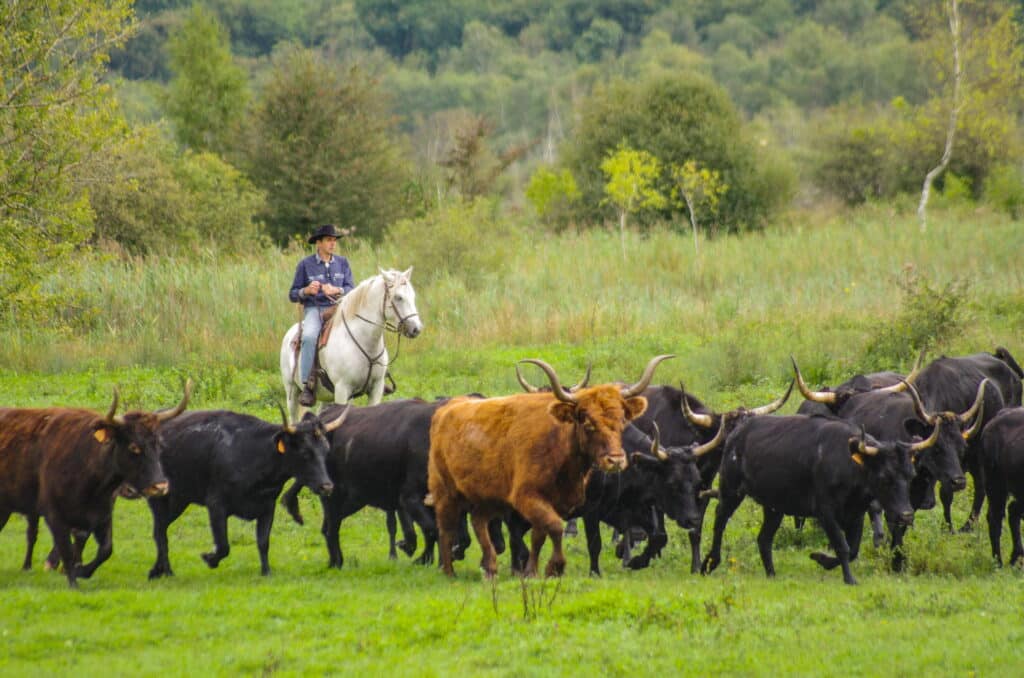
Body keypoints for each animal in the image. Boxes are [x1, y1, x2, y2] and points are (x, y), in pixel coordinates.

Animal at [0, 383, 192, 587]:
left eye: (159, 445)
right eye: (134, 447)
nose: (160, 486)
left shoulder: (102, 515)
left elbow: (105, 549)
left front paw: (82, 571)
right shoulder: (55, 516)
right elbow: (67, 551)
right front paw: (73, 582)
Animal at [146, 405, 345, 578]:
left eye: (325, 451)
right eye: (305, 452)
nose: (327, 486)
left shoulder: (267, 506)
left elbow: (263, 542)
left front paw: (266, 572)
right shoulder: (216, 505)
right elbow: (223, 545)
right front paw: (209, 559)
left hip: (179, 501)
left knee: (160, 530)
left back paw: (157, 570)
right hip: (160, 500)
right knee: (160, 533)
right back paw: (166, 571)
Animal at [428, 355, 672, 578]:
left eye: (622, 420)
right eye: (587, 421)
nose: (615, 460)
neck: (557, 446)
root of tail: (446, 409)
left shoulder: (552, 503)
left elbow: (539, 535)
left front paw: (532, 571)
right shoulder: (527, 498)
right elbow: (555, 527)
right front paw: (555, 567)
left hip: (486, 497)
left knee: (479, 522)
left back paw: (490, 568)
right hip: (446, 493)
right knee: (445, 528)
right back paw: (448, 571)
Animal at [701, 414, 919, 585]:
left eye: (911, 475)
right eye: (884, 477)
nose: (906, 515)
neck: (847, 462)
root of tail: (736, 434)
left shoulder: (856, 513)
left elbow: (853, 549)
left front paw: (822, 559)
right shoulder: (825, 512)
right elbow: (842, 546)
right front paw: (849, 578)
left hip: (774, 507)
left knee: (764, 538)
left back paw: (771, 573)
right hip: (731, 490)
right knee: (719, 522)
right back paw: (710, 562)